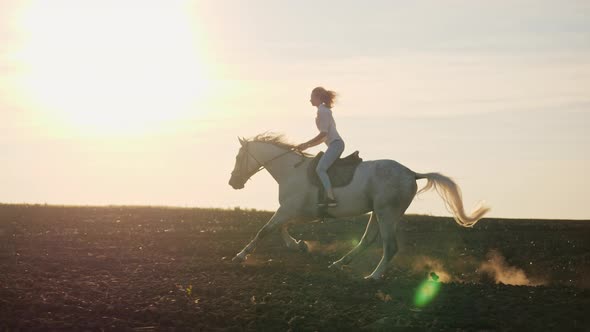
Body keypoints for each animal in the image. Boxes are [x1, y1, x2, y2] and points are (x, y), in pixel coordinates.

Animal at [228, 134, 490, 278]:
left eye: (239, 157)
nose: (233, 182)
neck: (290, 171)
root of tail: (411, 173)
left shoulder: (289, 210)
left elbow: (265, 230)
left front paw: (239, 256)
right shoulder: (300, 212)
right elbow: (280, 228)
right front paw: (299, 245)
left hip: (386, 213)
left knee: (390, 246)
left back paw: (372, 276)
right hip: (377, 213)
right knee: (367, 240)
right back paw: (339, 263)